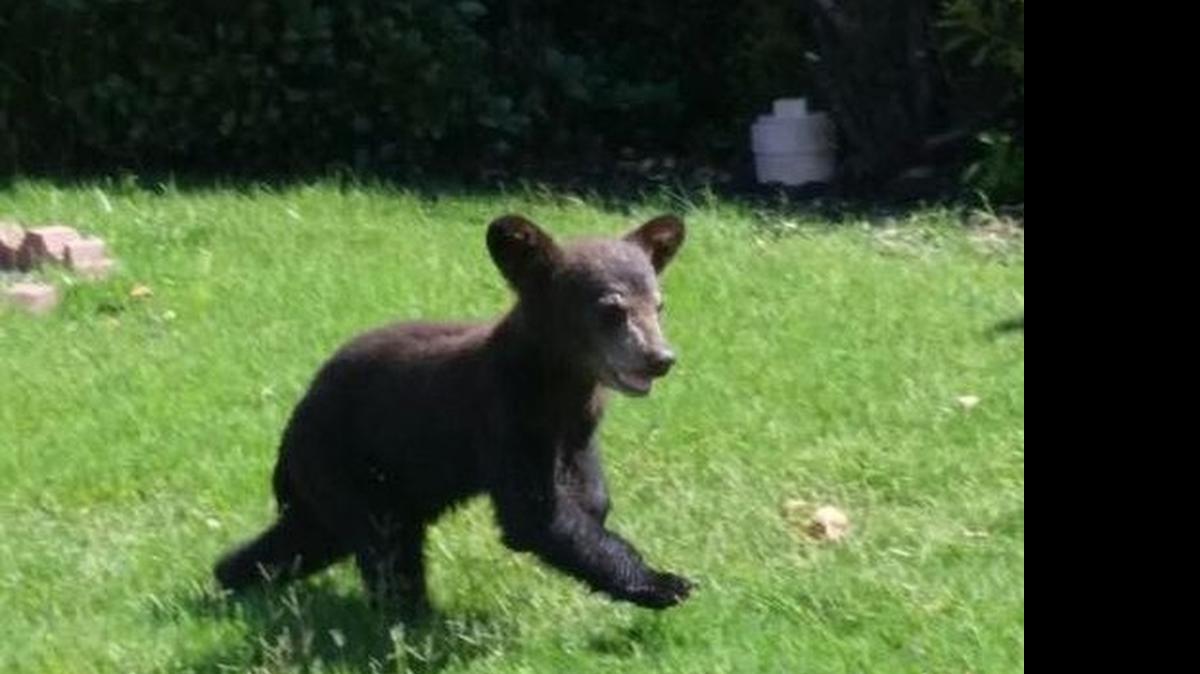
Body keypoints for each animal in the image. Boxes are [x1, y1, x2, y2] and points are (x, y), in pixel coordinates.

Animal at [214, 213, 694, 613]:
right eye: (612, 308)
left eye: (659, 304)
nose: (660, 358)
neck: (558, 383)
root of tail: (294, 420)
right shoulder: (502, 413)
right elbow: (534, 514)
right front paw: (663, 583)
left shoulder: (578, 426)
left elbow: (587, 490)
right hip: (343, 461)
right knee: (385, 544)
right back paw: (408, 615)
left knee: (309, 535)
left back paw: (232, 576)